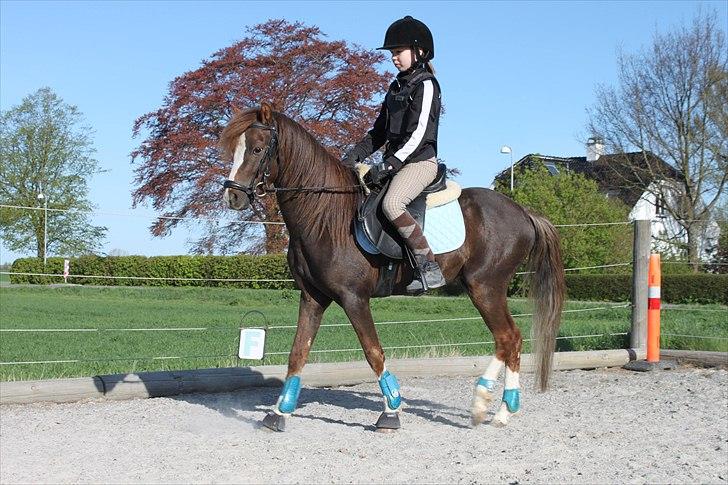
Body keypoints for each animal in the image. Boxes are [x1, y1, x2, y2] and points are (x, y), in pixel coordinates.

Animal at [221, 102, 565, 432]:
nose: (233, 196)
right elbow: (297, 354)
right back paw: (492, 408)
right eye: (235, 148)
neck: (325, 216)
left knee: (509, 338)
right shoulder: (313, 298)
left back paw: (493, 407)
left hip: (486, 287)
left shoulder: (354, 298)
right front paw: (279, 412)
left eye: (257, 149)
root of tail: (523, 212)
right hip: (482, 288)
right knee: (507, 340)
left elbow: (373, 351)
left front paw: (391, 411)